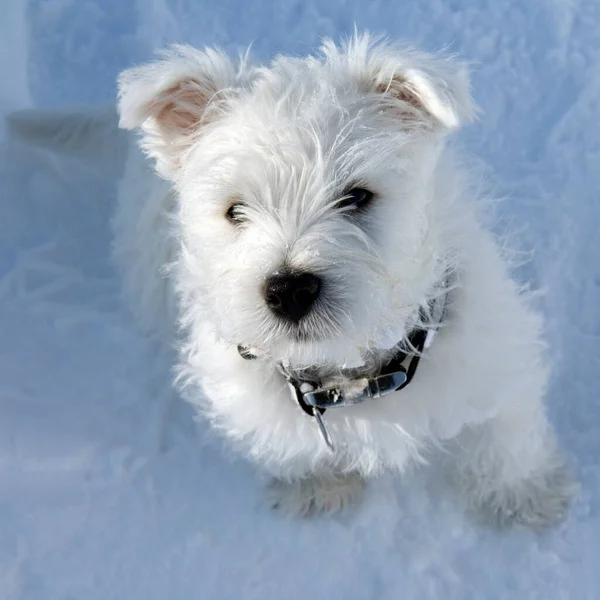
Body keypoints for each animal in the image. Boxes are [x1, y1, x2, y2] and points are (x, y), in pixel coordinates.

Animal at [9, 35, 576, 528]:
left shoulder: (493, 356)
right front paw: (318, 487)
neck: (351, 373)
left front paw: (523, 499)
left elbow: (506, 436)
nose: (288, 290)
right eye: (235, 210)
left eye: (357, 196)